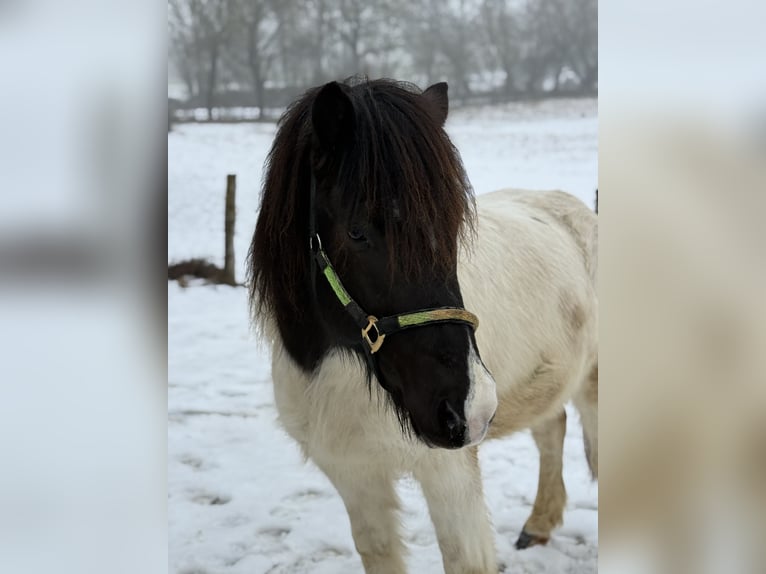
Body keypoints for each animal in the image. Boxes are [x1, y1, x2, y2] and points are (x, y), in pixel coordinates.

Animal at [248, 77, 598, 574]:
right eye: (357, 232)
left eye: (452, 230)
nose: (469, 409)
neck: (337, 369)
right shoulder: (355, 476)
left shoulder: (448, 473)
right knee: (552, 427)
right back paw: (538, 526)